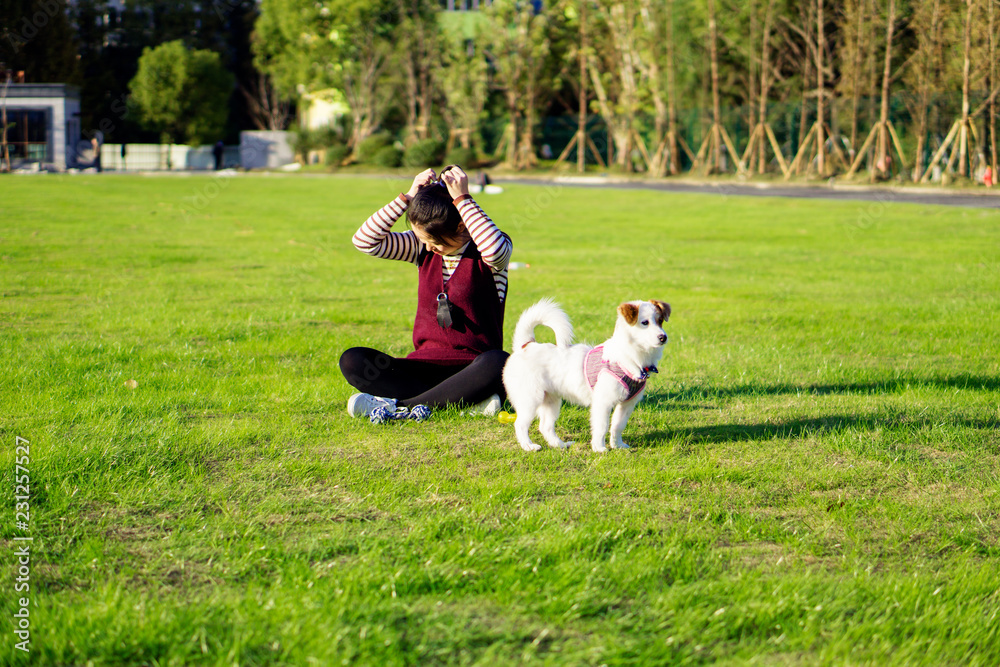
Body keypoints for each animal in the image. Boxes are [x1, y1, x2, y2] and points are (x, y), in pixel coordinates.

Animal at [500, 298, 672, 452]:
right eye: (645, 323)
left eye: (660, 321)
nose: (663, 337)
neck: (630, 357)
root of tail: (525, 345)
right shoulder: (603, 403)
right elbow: (602, 426)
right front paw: (599, 448)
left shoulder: (627, 404)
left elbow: (618, 426)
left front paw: (618, 445)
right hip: (530, 399)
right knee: (520, 424)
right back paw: (528, 446)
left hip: (551, 400)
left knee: (545, 427)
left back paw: (560, 445)